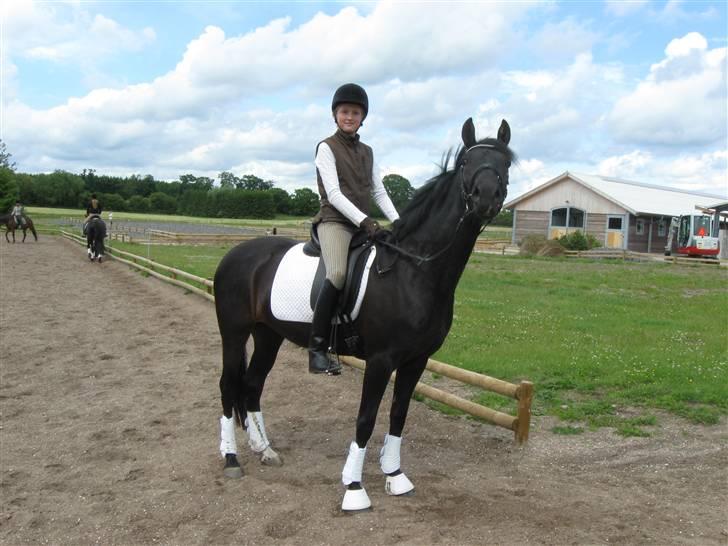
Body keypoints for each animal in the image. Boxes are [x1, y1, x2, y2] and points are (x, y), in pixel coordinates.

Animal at [213, 117, 514, 511]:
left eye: (506, 162)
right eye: (467, 162)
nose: (486, 198)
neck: (415, 270)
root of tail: (236, 254)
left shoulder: (416, 360)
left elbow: (399, 414)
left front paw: (395, 475)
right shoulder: (381, 360)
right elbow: (366, 419)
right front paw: (354, 488)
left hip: (268, 335)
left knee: (251, 385)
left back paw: (264, 450)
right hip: (234, 333)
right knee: (227, 385)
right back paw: (231, 459)